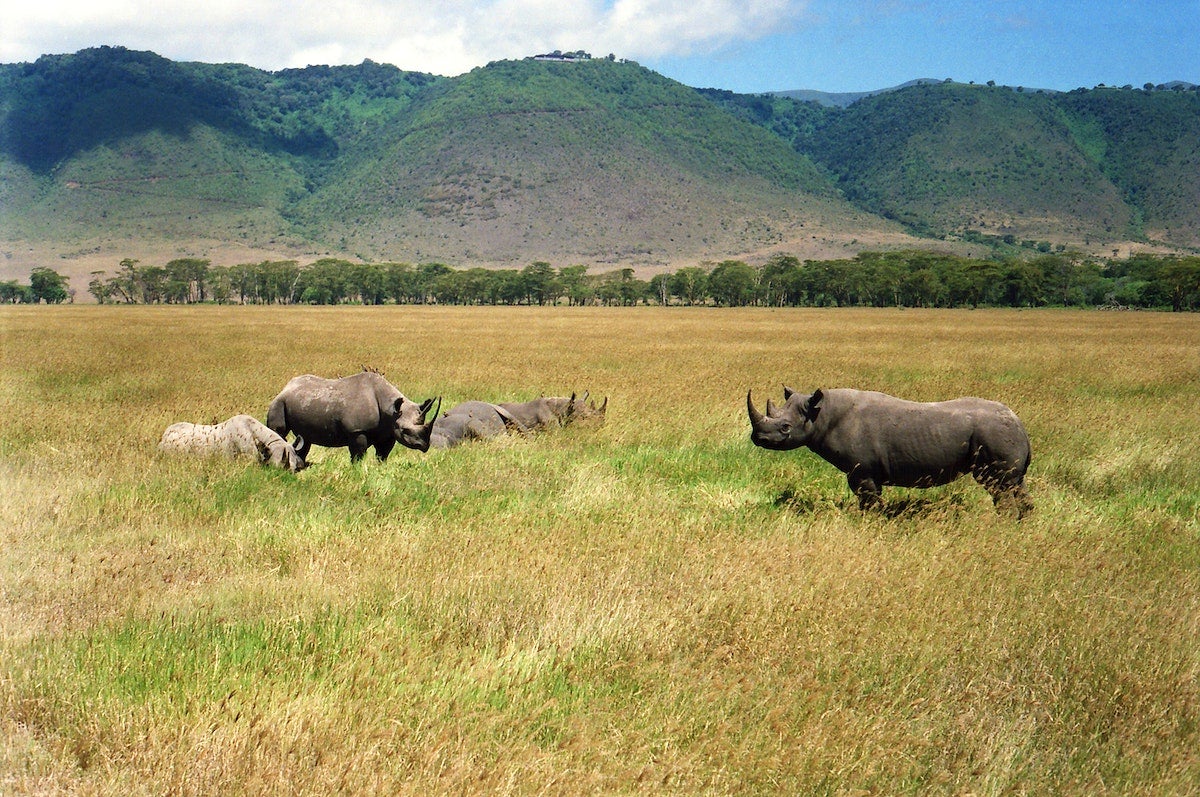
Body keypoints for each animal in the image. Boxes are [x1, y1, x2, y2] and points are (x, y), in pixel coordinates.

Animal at [266, 370, 440, 463]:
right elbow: (358, 454)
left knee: (305, 438)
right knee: (278, 431)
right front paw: (357, 470)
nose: (424, 445)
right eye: (405, 430)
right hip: (278, 402)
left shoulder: (388, 431)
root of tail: (286, 387)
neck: (391, 410)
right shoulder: (357, 430)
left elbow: (383, 455)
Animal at [747, 386, 1033, 517]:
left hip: (994, 434)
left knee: (998, 486)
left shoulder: (863, 471)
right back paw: (1022, 523)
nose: (757, 438)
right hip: (1001, 435)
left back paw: (1003, 525)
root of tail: (1018, 422)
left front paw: (869, 523)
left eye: (785, 427)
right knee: (1014, 485)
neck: (821, 415)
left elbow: (869, 502)